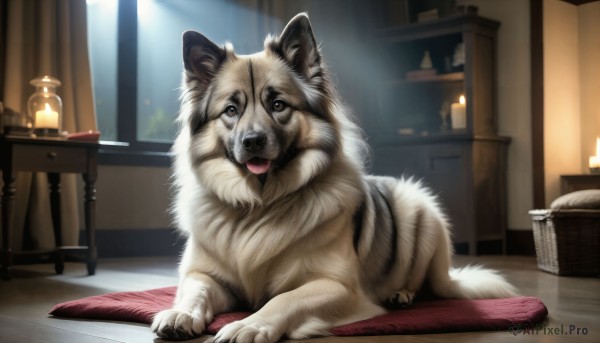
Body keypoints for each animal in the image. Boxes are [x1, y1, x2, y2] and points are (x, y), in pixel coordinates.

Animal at [151, 13, 516, 343]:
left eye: (278, 105)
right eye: (231, 110)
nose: (252, 141)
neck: (261, 204)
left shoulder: (338, 286)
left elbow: (283, 299)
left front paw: (250, 325)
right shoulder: (203, 274)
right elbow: (195, 290)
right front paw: (181, 313)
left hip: (421, 215)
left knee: (425, 283)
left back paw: (402, 294)